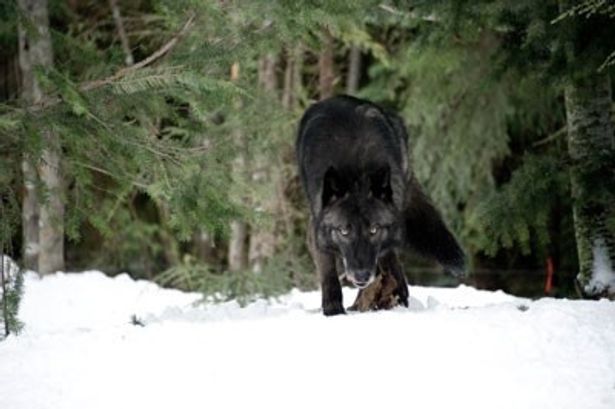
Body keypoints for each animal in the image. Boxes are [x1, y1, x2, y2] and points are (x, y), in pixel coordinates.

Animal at [296, 95, 464, 316]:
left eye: (374, 230)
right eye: (344, 231)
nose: (360, 275)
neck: (356, 172)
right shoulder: (317, 230)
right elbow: (329, 273)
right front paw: (334, 310)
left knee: (390, 259)